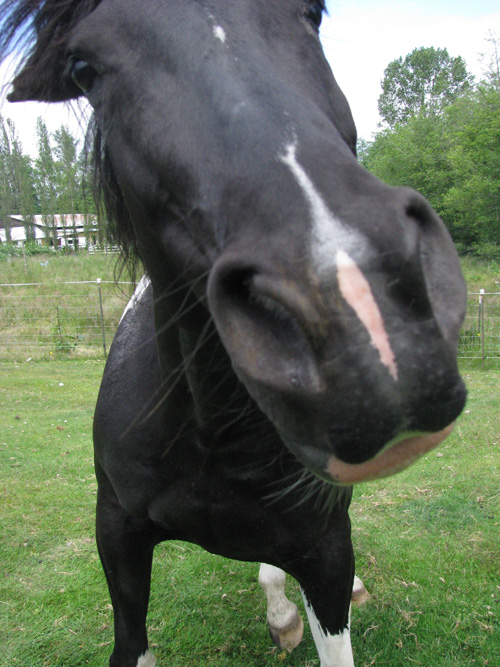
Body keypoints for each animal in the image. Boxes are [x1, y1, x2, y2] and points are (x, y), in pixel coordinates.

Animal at [0, 2, 467, 666]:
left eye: (313, 13)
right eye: (83, 68)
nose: (366, 315)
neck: (209, 432)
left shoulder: (325, 550)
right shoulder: (116, 534)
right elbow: (132, 642)